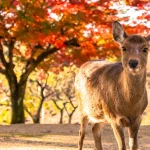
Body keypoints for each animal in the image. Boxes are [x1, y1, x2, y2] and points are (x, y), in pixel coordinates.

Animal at [75, 21, 150, 150]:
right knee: (81, 134)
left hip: (101, 115)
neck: (129, 106)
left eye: (145, 48)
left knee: (95, 129)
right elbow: (122, 146)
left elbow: (134, 146)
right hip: (82, 107)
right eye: (123, 48)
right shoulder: (114, 118)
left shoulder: (138, 117)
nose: (133, 62)